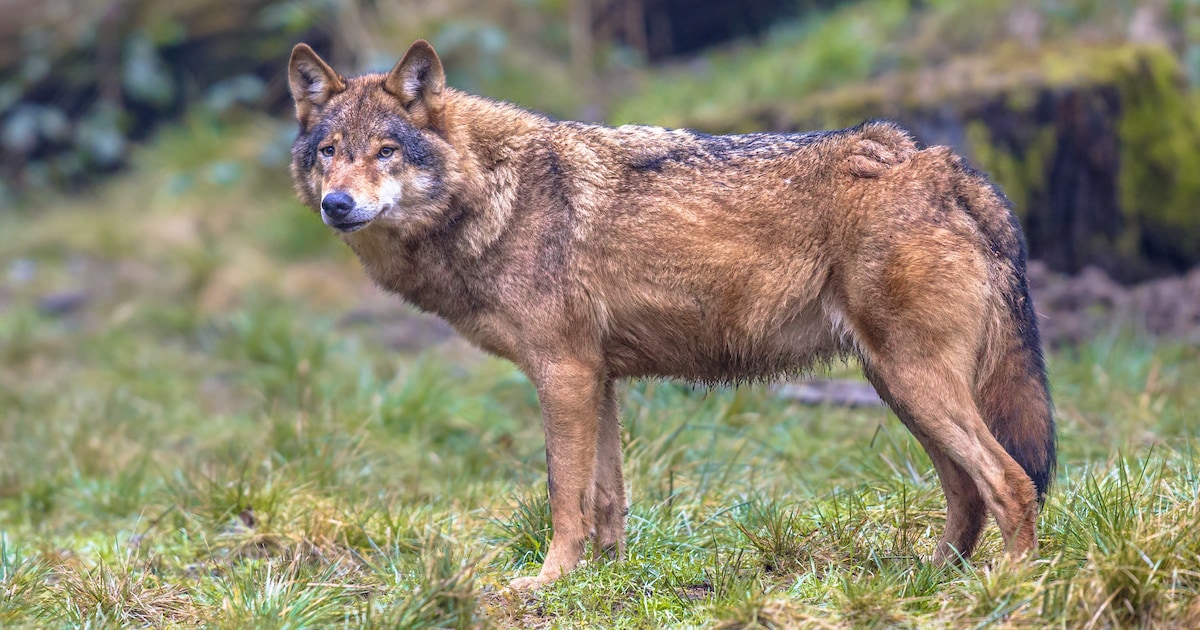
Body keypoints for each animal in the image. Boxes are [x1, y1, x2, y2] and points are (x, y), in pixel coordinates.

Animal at [287, 40, 1055, 590]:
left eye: (386, 151)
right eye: (328, 152)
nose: (336, 204)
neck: (495, 196)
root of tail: (943, 163)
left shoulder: (563, 374)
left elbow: (564, 495)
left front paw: (546, 582)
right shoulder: (596, 379)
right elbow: (606, 501)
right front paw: (604, 579)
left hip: (915, 383)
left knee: (1010, 482)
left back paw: (1006, 591)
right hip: (898, 386)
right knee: (967, 492)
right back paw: (930, 583)